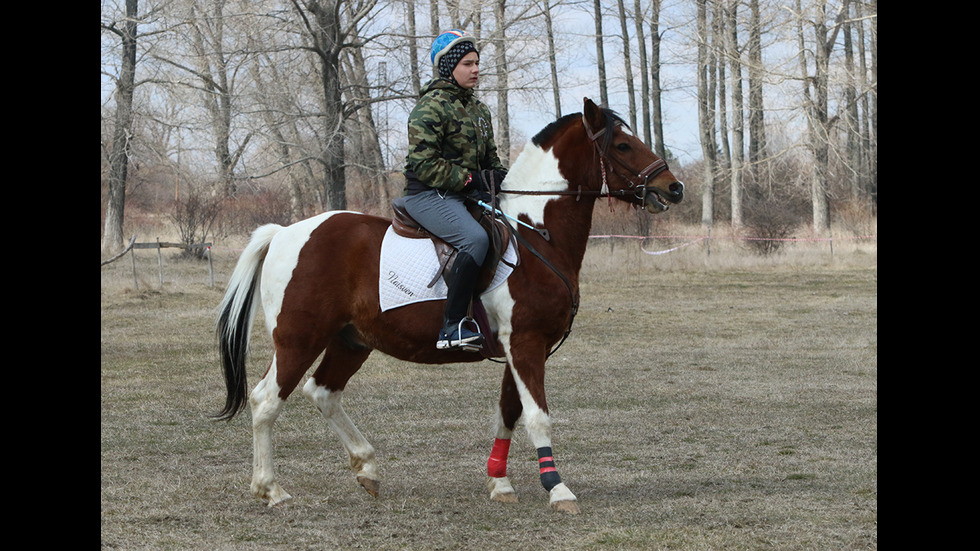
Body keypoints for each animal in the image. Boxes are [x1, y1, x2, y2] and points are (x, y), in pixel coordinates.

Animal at [218, 97, 684, 516]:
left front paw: (499, 483)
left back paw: (366, 468)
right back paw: (271, 490)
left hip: (351, 341)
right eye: (622, 145)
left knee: (323, 392)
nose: (673, 187)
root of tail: (284, 233)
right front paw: (557, 488)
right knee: (266, 400)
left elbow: (508, 413)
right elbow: (537, 416)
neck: (535, 234)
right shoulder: (527, 344)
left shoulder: (517, 347)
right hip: (299, 339)